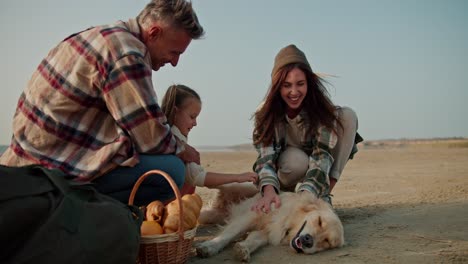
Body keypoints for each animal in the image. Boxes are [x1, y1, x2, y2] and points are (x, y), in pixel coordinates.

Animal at [196, 190, 346, 262]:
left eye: (327, 242)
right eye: (320, 221)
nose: (308, 241)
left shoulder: (265, 233)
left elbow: (254, 241)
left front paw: (243, 249)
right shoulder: (253, 215)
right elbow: (229, 233)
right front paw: (210, 246)